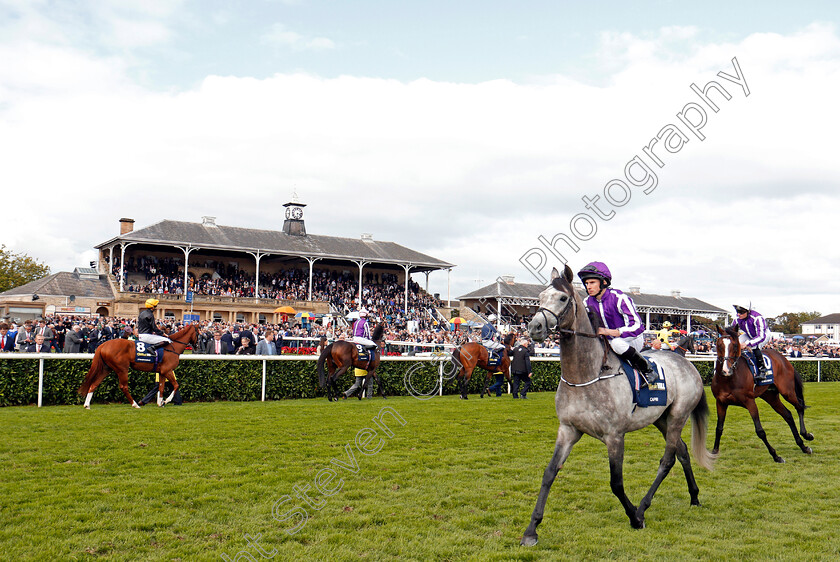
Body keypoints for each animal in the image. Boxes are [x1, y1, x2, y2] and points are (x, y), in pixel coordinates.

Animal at [520, 264, 716, 544]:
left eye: (562, 298)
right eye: (539, 297)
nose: (534, 327)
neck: (586, 375)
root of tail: (686, 362)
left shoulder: (614, 436)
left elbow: (616, 482)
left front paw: (634, 516)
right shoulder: (568, 430)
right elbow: (549, 473)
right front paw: (531, 530)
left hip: (679, 415)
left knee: (668, 459)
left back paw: (643, 507)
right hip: (662, 419)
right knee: (683, 452)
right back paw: (694, 497)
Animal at [712, 322, 812, 462]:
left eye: (735, 345)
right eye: (719, 345)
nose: (726, 370)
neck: (729, 379)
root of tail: (782, 358)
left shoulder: (750, 402)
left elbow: (760, 431)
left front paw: (776, 456)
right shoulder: (720, 402)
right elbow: (719, 428)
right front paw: (714, 452)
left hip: (787, 392)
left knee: (799, 407)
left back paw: (806, 435)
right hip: (770, 396)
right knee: (788, 415)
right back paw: (802, 445)